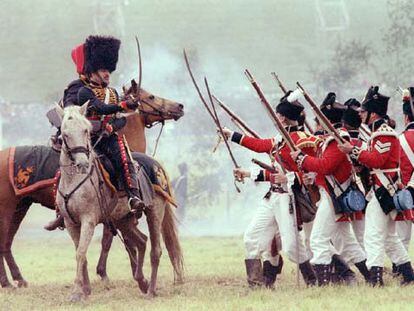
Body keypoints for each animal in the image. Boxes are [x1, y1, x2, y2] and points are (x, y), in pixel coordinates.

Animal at [0, 80, 184, 294]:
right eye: (151, 96)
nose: (179, 107)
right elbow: (110, 241)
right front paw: (104, 274)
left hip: (20, 207)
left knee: (7, 242)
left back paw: (18, 279)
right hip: (6, 208)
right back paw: (6, 282)